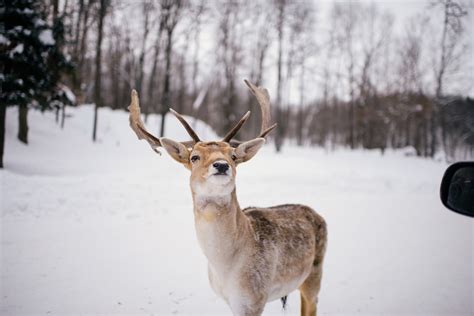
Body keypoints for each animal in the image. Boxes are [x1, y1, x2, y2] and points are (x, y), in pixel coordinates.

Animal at [127, 79, 326, 316]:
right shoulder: (232, 301)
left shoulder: (254, 299)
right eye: (194, 157)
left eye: (232, 156)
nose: (221, 165)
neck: (225, 268)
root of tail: (316, 213)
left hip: (315, 272)